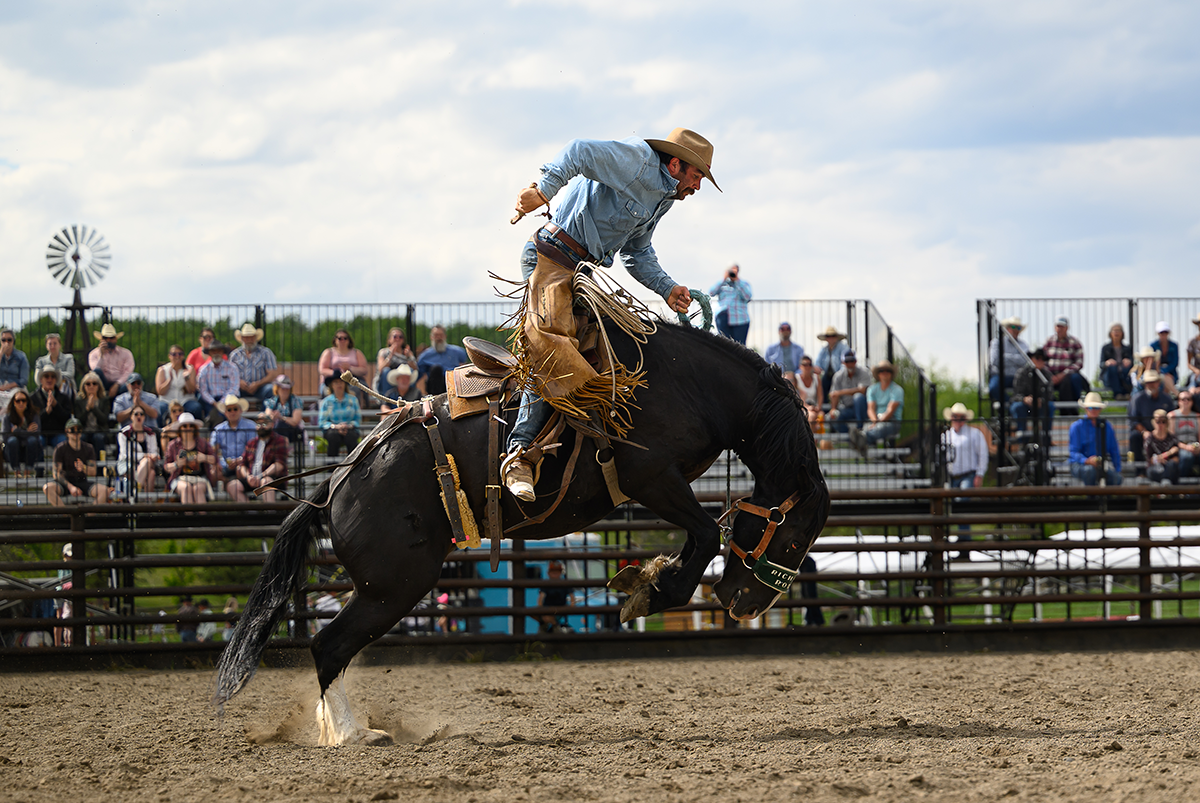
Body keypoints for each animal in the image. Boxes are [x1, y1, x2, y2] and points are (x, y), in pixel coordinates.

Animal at [214, 320, 830, 745]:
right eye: (795, 539)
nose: (746, 605)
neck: (689, 382)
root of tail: (340, 480)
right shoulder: (650, 476)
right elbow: (702, 536)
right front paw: (649, 591)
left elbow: (699, 537)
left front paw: (646, 577)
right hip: (395, 586)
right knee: (328, 645)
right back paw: (351, 734)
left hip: (385, 587)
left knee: (332, 647)